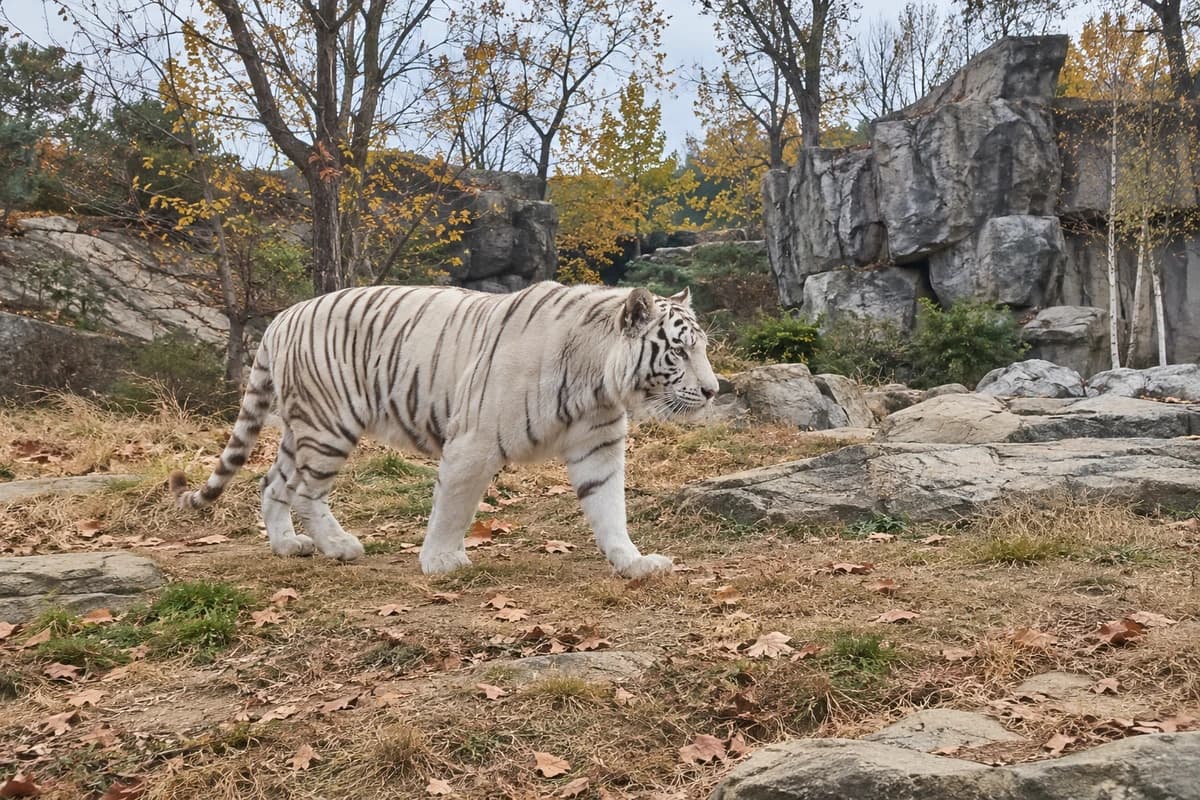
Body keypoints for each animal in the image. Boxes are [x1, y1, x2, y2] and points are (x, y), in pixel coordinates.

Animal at [169, 281, 719, 579]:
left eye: (703, 348)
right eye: (679, 351)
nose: (716, 390)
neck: (598, 382)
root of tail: (282, 318)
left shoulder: (599, 447)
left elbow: (610, 510)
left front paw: (633, 562)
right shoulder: (474, 443)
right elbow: (454, 508)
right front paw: (439, 562)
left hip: (301, 428)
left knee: (271, 484)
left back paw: (288, 545)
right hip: (328, 426)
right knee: (306, 492)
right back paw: (341, 546)